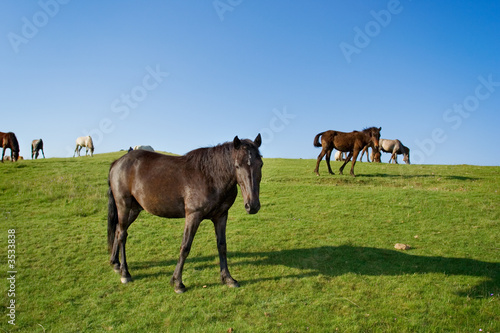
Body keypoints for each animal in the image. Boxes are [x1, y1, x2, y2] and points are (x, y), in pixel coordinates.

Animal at [107, 134, 264, 292]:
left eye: (260, 164)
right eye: (237, 166)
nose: (252, 205)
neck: (210, 175)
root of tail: (117, 163)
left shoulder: (221, 216)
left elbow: (222, 246)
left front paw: (228, 278)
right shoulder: (193, 216)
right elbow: (185, 247)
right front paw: (177, 282)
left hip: (134, 209)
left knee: (118, 231)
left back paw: (116, 264)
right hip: (124, 206)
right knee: (122, 235)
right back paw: (125, 273)